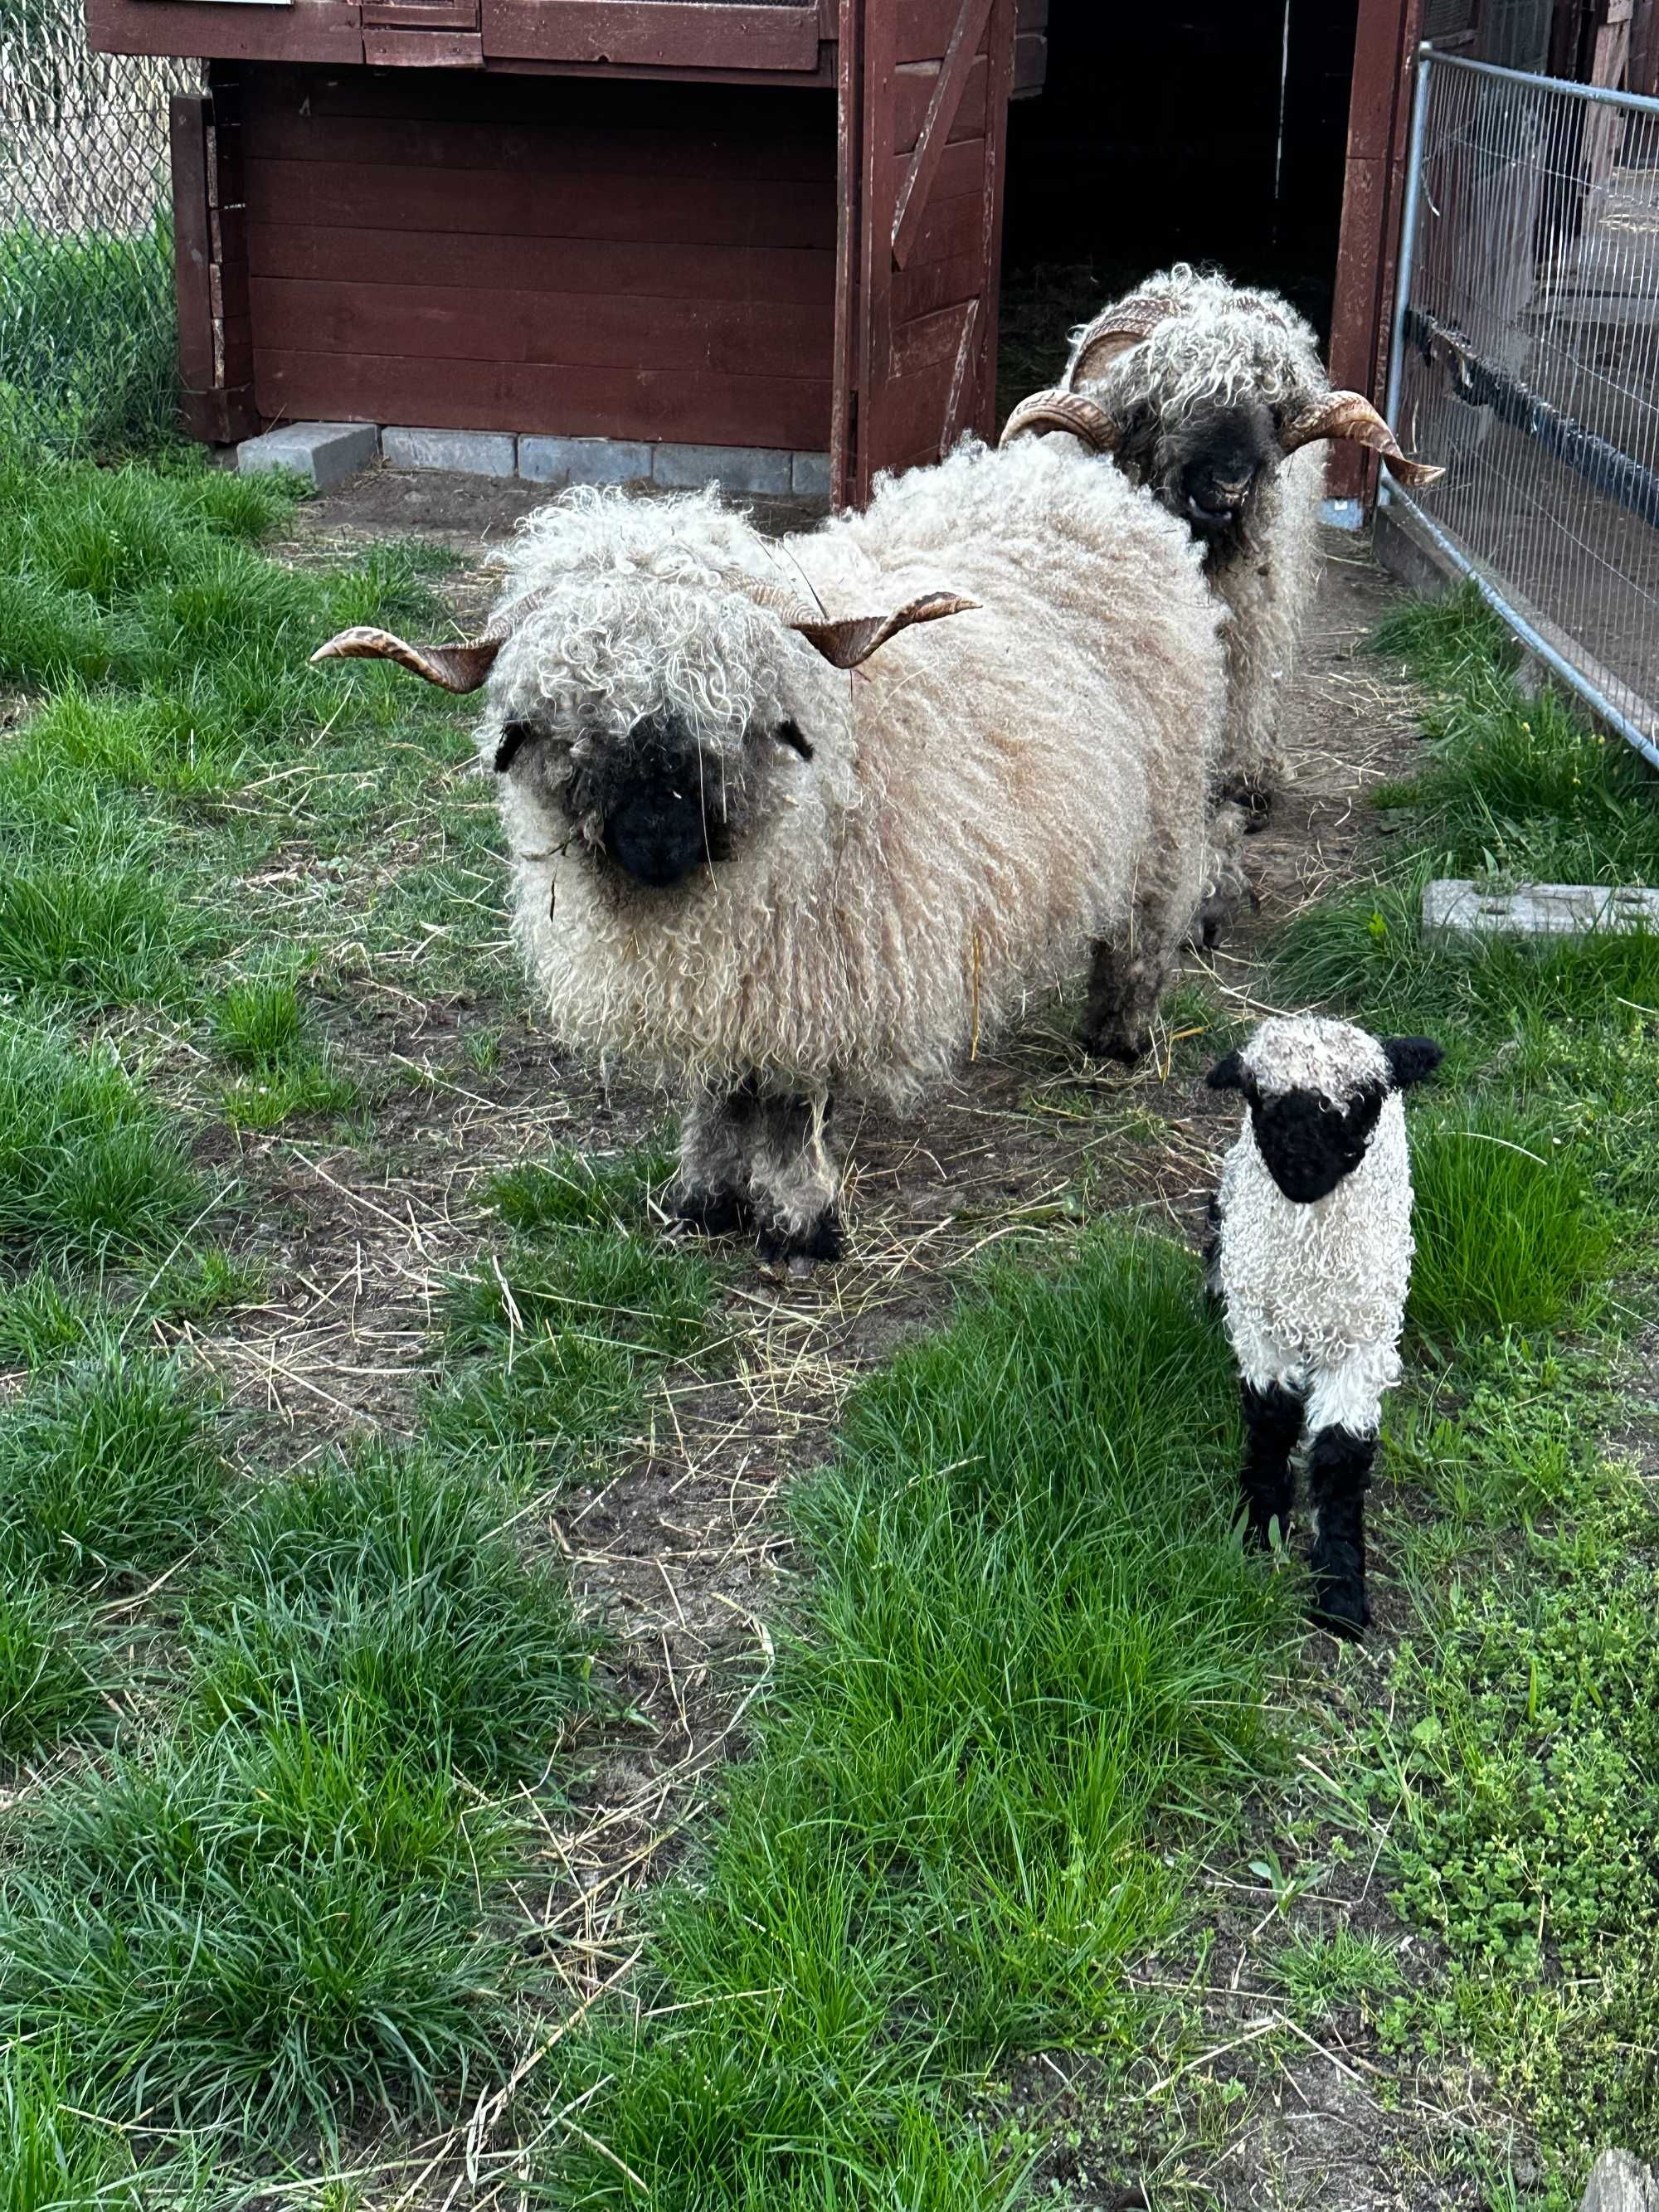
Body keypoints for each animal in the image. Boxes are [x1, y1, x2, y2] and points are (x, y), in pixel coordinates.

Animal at [319, 435, 1238, 1265]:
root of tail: (1072, 475)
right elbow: (718, 1087)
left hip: (1163, 811)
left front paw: (798, 1222)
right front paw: (703, 1198)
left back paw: (1118, 1037)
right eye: (561, 725)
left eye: (735, 710)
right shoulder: (727, 978)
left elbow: (793, 1105)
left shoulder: (815, 973)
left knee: (1144, 928)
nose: (656, 835)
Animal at [1000, 259, 1442, 840]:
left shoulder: (1254, 610)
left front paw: (1244, 784)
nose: (1230, 485)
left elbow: (1244, 684)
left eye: (1270, 408)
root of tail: (1200, 279)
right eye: (1164, 404)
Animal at [1203, 1013, 1451, 1636]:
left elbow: (1342, 1456)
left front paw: (1340, 1590)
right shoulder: (1260, 1326)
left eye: (1362, 1101)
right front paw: (1259, 1526)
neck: (1311, 1268)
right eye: (1257, 1096)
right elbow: (1270, 1421)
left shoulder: (1363, 1342)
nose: (1299, 1170)